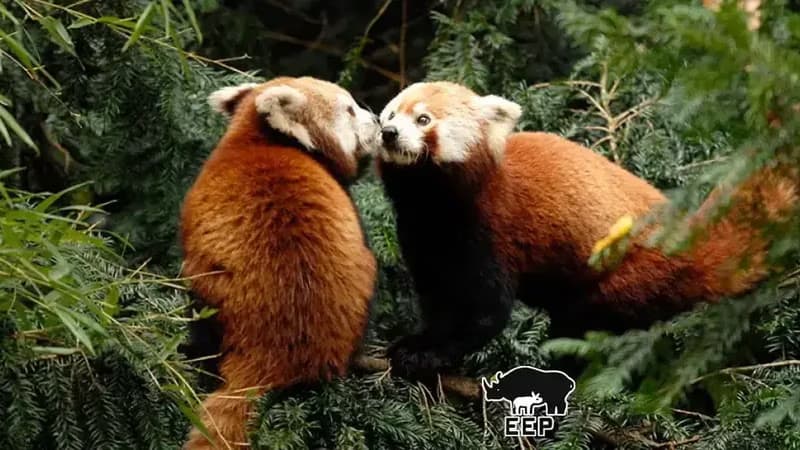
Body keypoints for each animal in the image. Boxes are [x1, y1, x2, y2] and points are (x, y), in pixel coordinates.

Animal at [374, 80, 798, 380]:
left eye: (423, 119)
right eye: (389, 114)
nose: (389, 133)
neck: (433, 206)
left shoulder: (490, 231)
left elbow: (485, 311)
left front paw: (431, 356)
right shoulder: (423, 238)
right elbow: (438, 301)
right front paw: (417, 341)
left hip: (627, 275)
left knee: (586, 322)